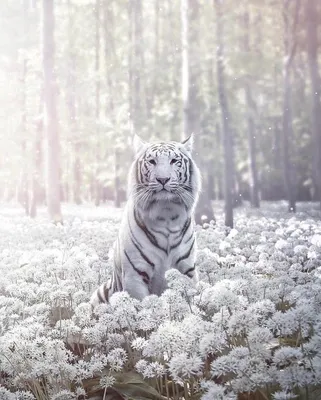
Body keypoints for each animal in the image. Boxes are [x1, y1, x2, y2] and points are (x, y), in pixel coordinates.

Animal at [90, 134, 200, 306]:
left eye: (174, 161)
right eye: (152, 161)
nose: (163, 179)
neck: (166, 214)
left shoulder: (187, 271)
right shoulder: (135, 275)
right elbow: (143, 306)